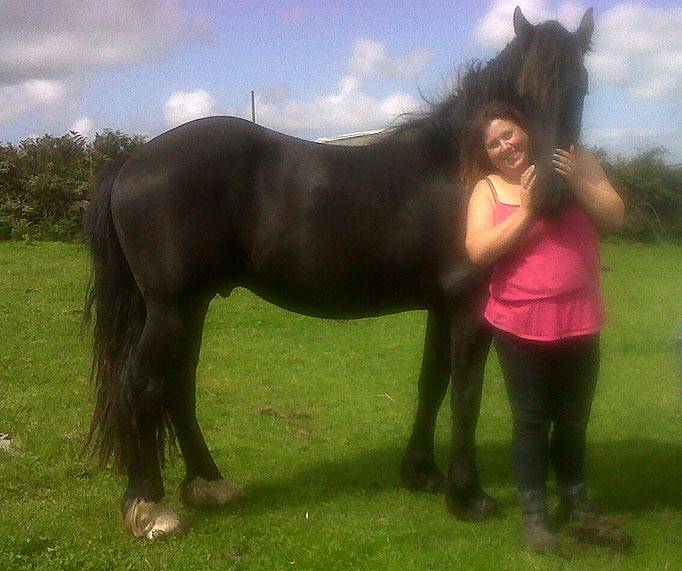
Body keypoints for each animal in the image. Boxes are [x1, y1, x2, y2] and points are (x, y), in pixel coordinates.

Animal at [84, 7, 594, 539]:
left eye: (580, 88)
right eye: (523, 95)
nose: (550, 193)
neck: (457, 168)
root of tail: (130, 162)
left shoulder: (440, 304)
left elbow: (432, 383)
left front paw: (421, 473)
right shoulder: (468, 307)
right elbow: (465, 395)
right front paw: (467, 496)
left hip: (189, 306)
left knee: (178, 385)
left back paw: (208, 483)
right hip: (172, 308)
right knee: (141, 384)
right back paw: (150, 506)